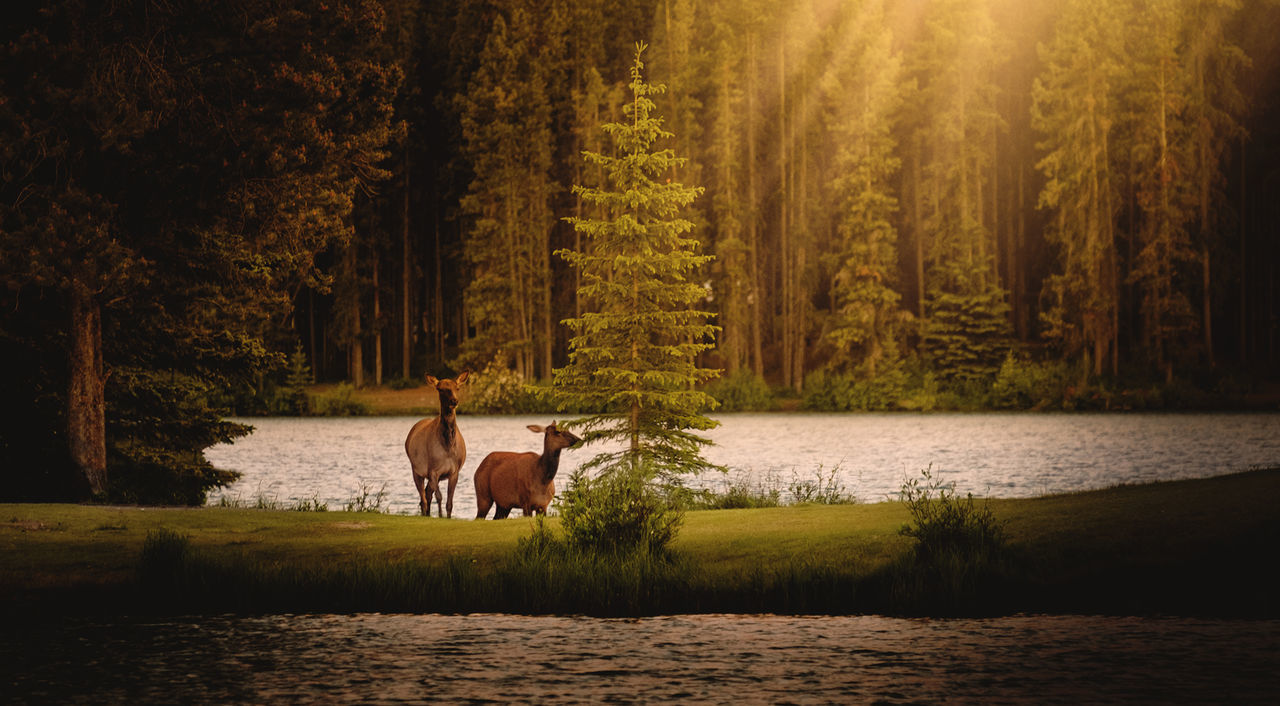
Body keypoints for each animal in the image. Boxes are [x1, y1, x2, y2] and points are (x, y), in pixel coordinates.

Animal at [404, 372, 469, 517]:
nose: (454, 401)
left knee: (427, 494)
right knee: (423, 497)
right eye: (440, 389)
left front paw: (448, 517)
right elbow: (439, 497)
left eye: (457, 387)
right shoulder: (433, 471)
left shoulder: (454, 472)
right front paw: (440, 516)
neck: (448, 446)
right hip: (416, 469)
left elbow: (449, 502)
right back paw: (425, 514)